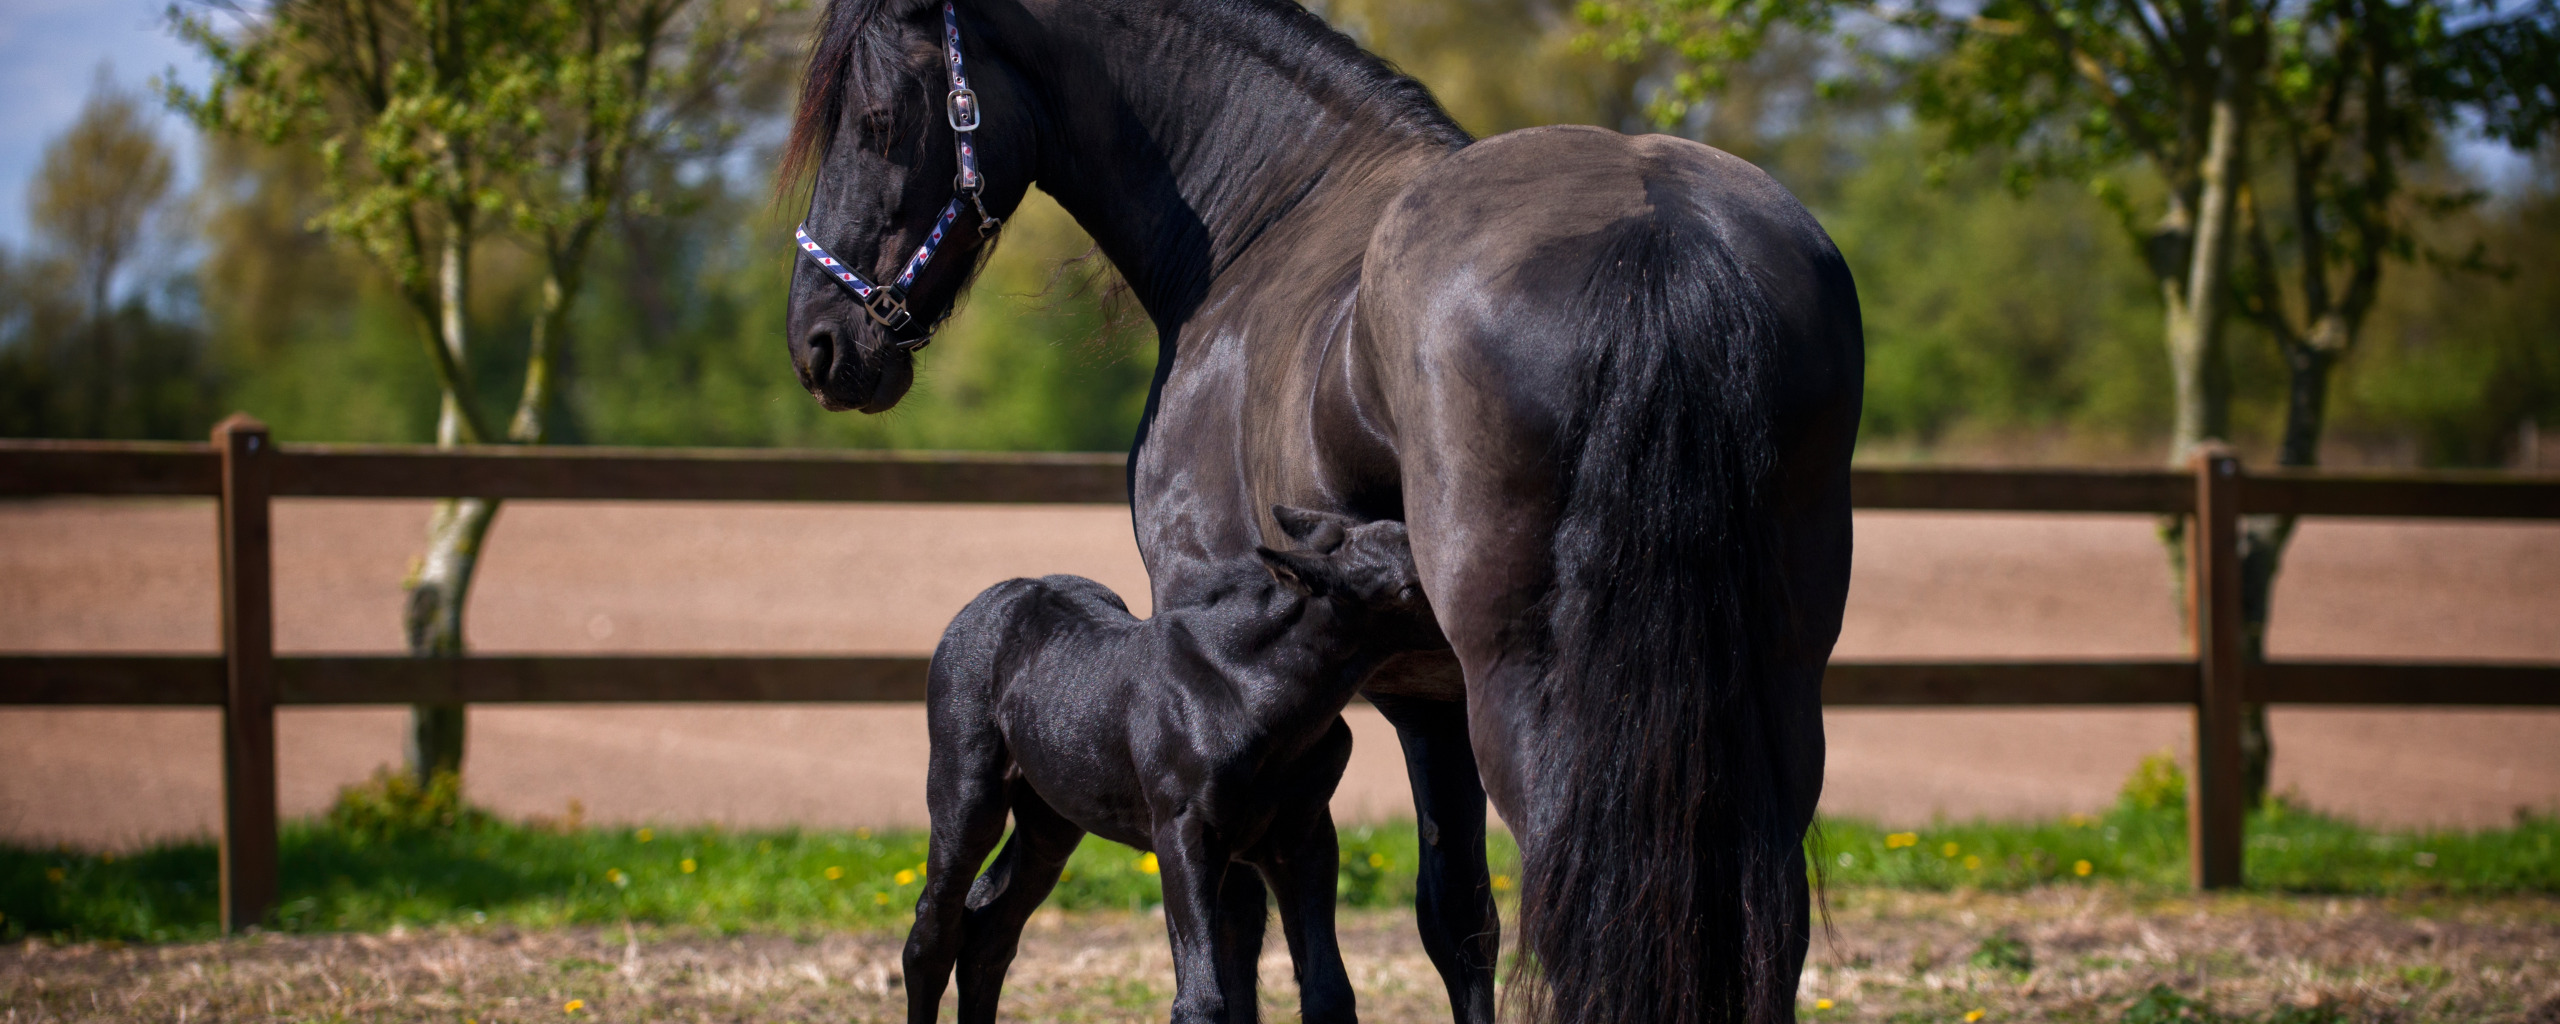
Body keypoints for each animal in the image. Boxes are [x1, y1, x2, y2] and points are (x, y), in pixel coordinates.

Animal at [911, 509, 1443, 1024]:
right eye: (1408, 588)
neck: (1251, 694)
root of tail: (991, 600)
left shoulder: (1303, 838)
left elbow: (1328, 993)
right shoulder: (1185, 833)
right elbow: (1201, 999)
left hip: (1051, 822)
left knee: (989, 935)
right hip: (966, 797)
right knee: (932, 934)